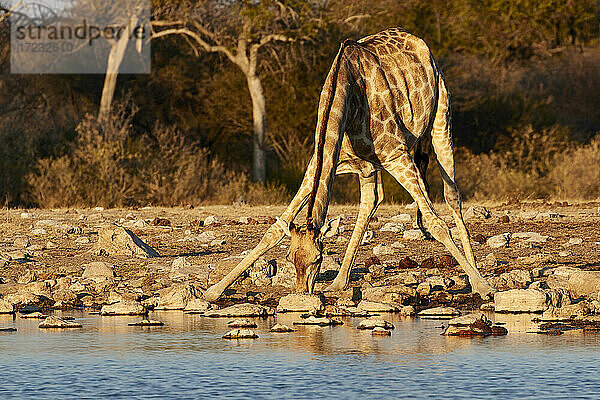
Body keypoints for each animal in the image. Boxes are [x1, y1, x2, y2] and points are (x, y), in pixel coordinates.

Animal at [204, 27, 494, 304]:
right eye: (289, 258)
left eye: (318, 259)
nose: (301, 294)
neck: (345, 98)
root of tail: (420, 43)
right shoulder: (323, 163)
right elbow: (274, 229)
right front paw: (213, 291)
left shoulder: (397, 155)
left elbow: (436, 223)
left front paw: (484, 287)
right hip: (369, 166)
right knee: (371, 200)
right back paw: (338, 282)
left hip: (441, 118)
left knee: (452, 194)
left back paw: (475, 276)